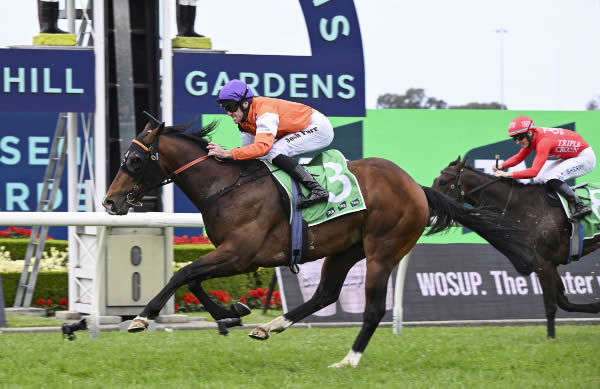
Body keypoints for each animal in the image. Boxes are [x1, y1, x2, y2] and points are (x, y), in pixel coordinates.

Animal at [103, 122, 528, 366]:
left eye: (134, 161)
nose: (109, 201)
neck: (228, 186)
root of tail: (416, 187)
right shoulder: (234, 255)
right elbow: (192, 278)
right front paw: (233, 312)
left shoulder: (241, 253)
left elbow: (184, 273)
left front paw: (142, 317)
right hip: (344, 250)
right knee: (325, 294)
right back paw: (270, 326)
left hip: (383, 249)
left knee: (373, 308)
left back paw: (348, 360)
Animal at [434, 156, 600, 338]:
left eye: (442, 181)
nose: (429, 205)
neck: (522, 207)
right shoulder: (545, 263)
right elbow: (564, 301)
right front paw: (595, 307)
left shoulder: (544, 263)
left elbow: (551, 305)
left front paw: (550, 338)